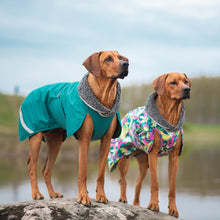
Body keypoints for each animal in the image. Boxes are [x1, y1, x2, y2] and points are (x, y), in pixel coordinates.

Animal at [19, 50, 129, 206]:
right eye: (108, 59)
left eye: (120, 58)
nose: (126, 64)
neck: (103, 97)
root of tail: (28, 95)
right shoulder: (85, 139)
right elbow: (82, 172)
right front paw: (83, 196)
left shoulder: (106, 141)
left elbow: (101, 174)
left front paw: (101, 195)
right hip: (36, 137)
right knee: (31, 168)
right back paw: (36, 194)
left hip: (55, 142)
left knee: (45, 170)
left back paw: (53, 194)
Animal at [109, 72, 192, 217]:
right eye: (173, 82)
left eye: (186, 82)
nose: (187, 90)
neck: (169, 116)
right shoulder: (153, 154)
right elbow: (155, 183)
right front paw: (153, 205)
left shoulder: (174, 157)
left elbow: (172, 188)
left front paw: (173, 209)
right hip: (123, 158)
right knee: (123, 180)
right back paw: (123, 198)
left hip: (143, 163)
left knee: (138, 183)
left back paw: (136, 204)